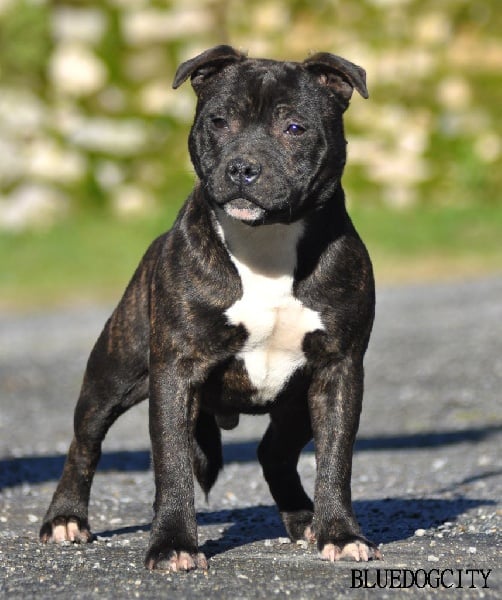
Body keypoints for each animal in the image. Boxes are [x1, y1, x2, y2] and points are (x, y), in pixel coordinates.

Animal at [40, 45, 381, 571]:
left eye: (295, 127)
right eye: (219, 122)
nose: (242, 167)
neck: (265, 243)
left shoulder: (338, 370)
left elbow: (336, 458)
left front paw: (340, 533)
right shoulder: (176, 371)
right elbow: (173, 463)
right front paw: (174, 544)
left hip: (297, 403)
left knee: (273, 453)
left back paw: (304, 519)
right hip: (113, 375)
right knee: (85, 443)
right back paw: (66, 518)